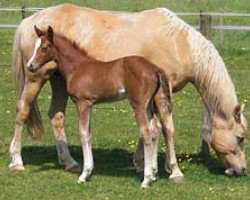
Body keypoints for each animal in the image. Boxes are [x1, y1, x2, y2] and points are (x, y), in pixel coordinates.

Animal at [27, 25, 178, 188]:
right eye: (35, 46)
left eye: (44, 48)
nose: (30, 66)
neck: (77, 67)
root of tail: (155, 68)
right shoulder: (90, 105)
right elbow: (89, 134)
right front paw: (89, 170)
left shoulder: (83, 103)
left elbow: (83, 134)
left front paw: (84, 174)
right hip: (149, 104)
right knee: (155, 128)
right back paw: (154, 174)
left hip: (138, 105)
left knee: (146, 133)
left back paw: (147, 179)